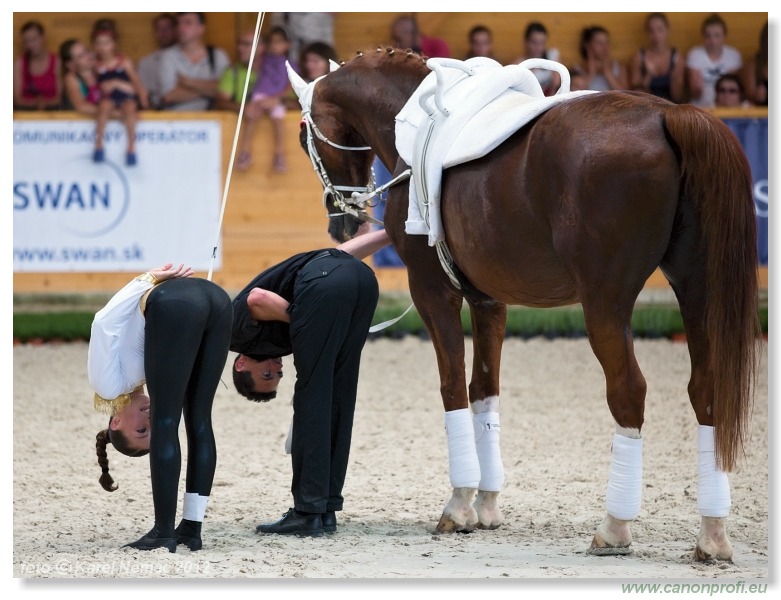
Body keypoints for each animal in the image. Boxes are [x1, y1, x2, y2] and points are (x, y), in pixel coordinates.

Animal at [284, 49, 756, 560]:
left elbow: (452, 388)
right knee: (705, 390)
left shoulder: (431, 290)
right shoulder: (489, 300)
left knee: (629, 391)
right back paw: (712, 534)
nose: (340, 224)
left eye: (302, 136)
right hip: (696, 287)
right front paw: (486, 505)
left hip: (605, 302)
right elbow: (483, 391)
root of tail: (669, 114)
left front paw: (458, 506)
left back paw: (614, 528)